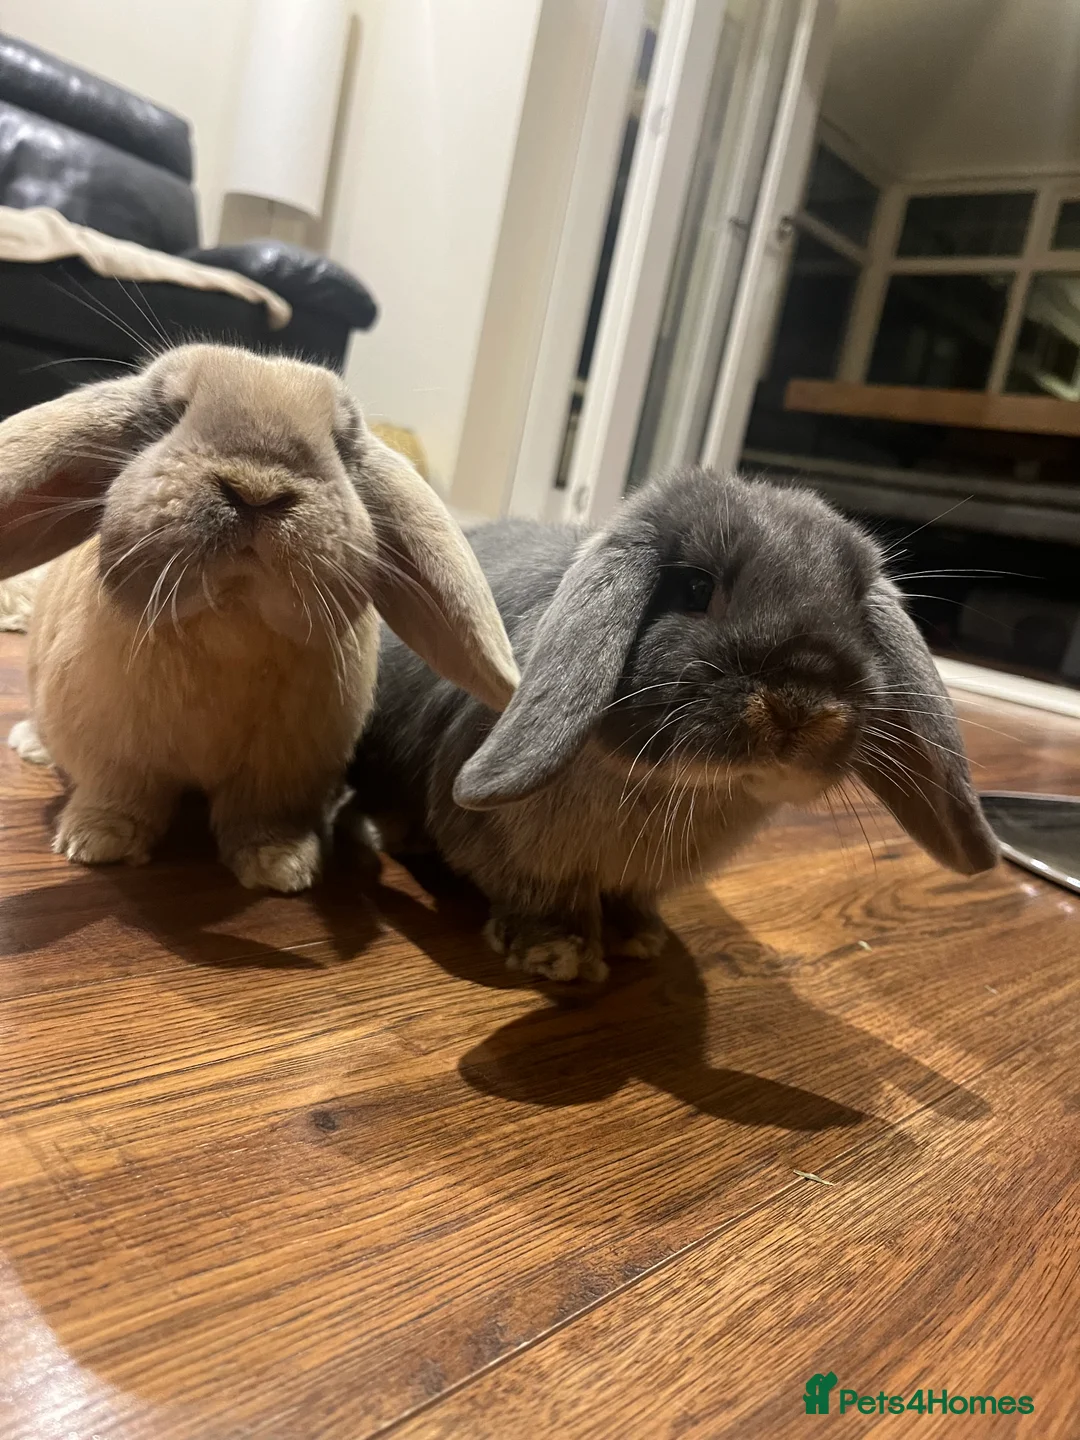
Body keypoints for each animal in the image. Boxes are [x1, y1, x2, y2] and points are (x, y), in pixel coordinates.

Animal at [1, 343, 518, 891]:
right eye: (168, 415)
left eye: (341, 443)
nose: (256, 489)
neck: (232, 619)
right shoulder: (116, 758)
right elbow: (118, 797)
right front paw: (97, 844)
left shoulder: (281, 776)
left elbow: (261, 819)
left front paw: (281, 870)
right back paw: (31, 746)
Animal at [349, 466, 998, 981]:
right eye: (695, 586)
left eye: (858, 612)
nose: (801, 704)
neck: (668, 785)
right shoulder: (518, 856)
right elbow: (540, 901)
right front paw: (558, 956)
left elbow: (631, 902)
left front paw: (641, 938)